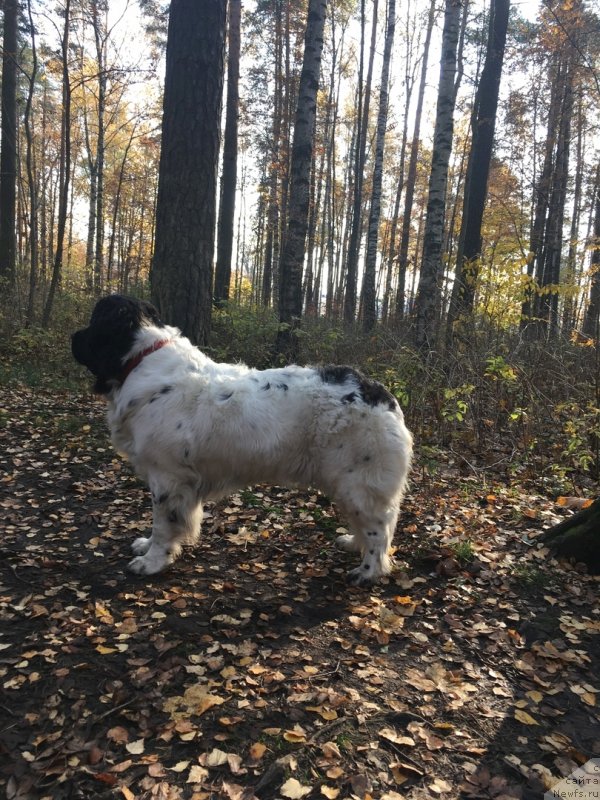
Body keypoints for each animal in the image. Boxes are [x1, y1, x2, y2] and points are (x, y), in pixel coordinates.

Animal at [71, 296, 412, 584]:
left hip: (359, 484)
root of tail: (381, 394)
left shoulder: (167, 479)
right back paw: (352, 543)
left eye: (95, 321)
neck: (141, 360)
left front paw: (153, 562)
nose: (73, 338)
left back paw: (368, 571)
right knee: (369, 525)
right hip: (347, 483)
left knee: (379, 531)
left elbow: (163, 523)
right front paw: (146, 546)